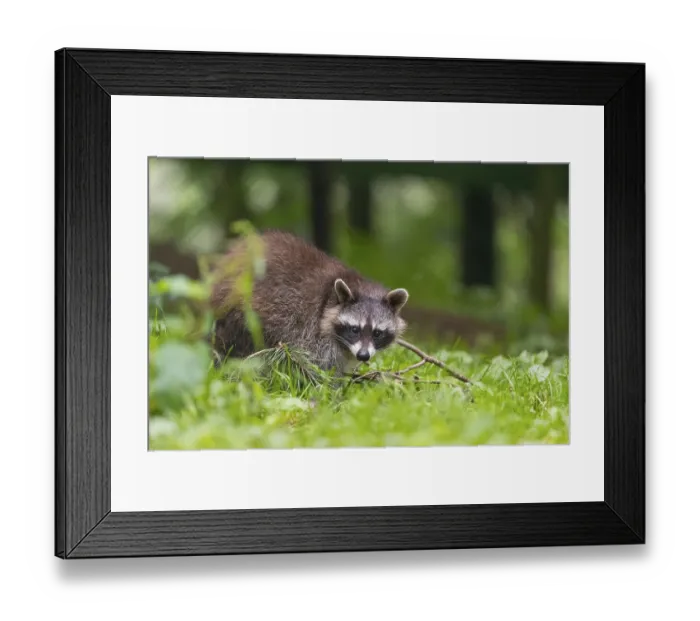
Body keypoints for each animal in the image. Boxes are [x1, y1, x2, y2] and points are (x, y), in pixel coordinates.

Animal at [210, 230, 409, 373]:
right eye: (354, 329)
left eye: (377, 333)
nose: (363, 355)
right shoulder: (311, 328)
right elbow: (317, 364)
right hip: (243, 311)